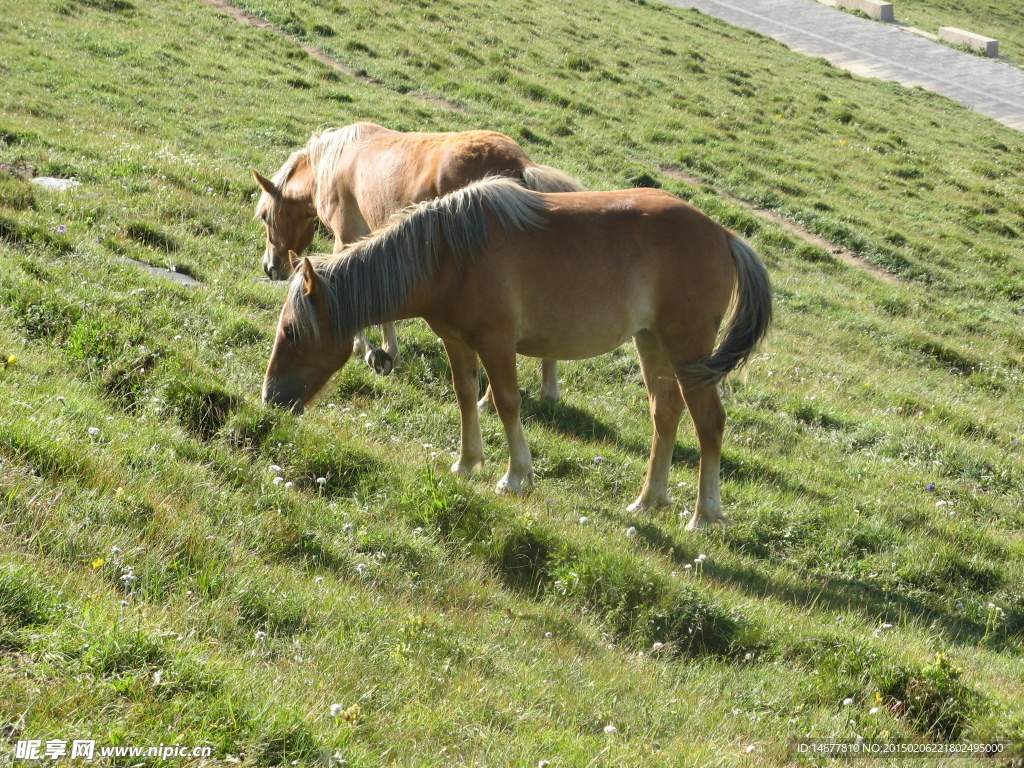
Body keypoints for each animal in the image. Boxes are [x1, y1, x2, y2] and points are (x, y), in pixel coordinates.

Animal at [249, 122, 585, 405]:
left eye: (264, 215)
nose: (271, 267)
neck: (333, 162)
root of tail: (522, 165)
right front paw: (386, 351)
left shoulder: (347, 240)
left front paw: (373, 351)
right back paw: (549, 390)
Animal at [260, 178, 770, 532]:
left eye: (292, 331)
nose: (271, 398)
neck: (449, 253)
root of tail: (725, 235)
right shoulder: (457, 341)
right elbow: (465, 395)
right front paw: (467, 462)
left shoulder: (497, 343)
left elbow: (506, 403)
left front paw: (515, 476)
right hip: (652, 344)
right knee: (665, 414)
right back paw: (649, 500)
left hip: (687, 349)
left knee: (709, 423)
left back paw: (703, 515)